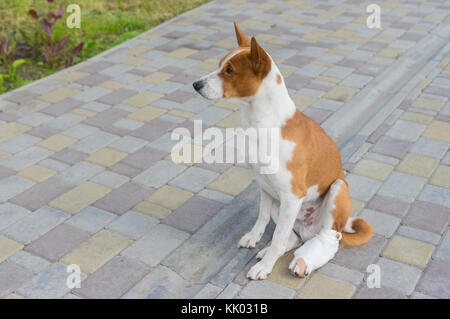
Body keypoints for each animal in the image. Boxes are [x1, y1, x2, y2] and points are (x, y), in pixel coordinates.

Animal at [193, 22, 372, 282]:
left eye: (229, 70)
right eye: (220, 65)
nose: (196, 84)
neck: (263, 123)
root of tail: (309, 230)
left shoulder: (291, 195)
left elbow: (277, 237)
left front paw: (265, 267)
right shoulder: (265, 186)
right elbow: (262, 218)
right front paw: (254, 238)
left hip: (336, 190)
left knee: (325, 238)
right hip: (283, 208)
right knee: (293, 236)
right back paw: (267, 250)